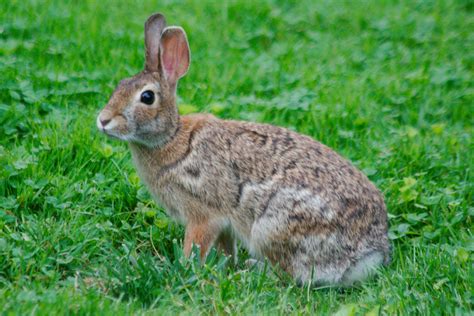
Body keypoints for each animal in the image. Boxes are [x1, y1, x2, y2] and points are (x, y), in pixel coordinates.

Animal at [95, 12, 388, 286]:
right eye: (120, 85)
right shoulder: (224, 225)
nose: (103, 120)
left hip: (273, 227)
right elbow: (226, 248)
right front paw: (224, 266)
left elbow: (196, 245)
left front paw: (187, 268)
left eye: (147, 97)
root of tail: (368, 253)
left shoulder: (203, 214)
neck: (171, 138)